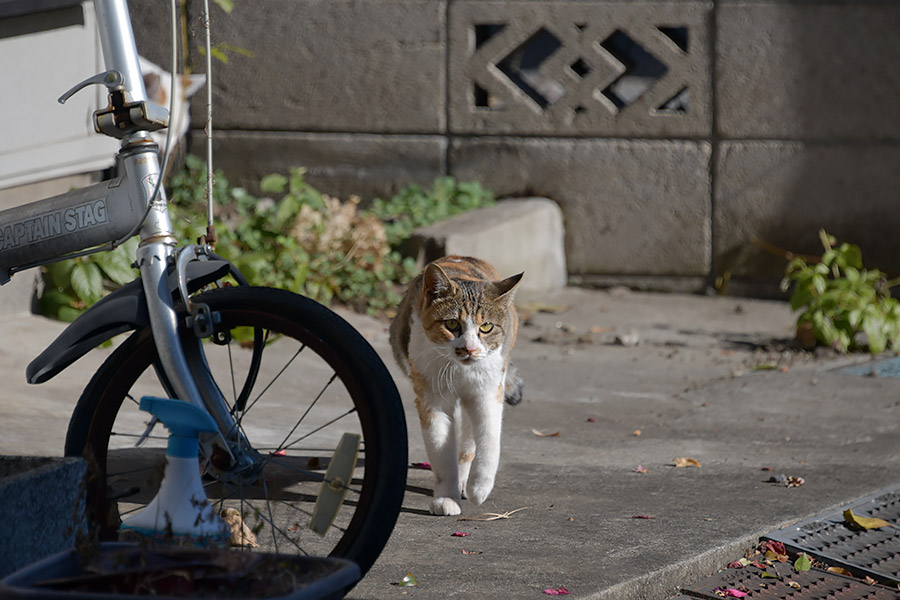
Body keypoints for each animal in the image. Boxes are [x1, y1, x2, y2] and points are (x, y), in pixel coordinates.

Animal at [390, 254, 524, 516]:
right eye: (452, 324)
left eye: (486, 327)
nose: (470, 348)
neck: (460, 370)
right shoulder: (431, 398)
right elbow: (442, 452)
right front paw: (446, 498)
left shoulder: (487, 392)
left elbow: (489, 440)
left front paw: (479, 488)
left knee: (470, 441)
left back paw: (467, 483)